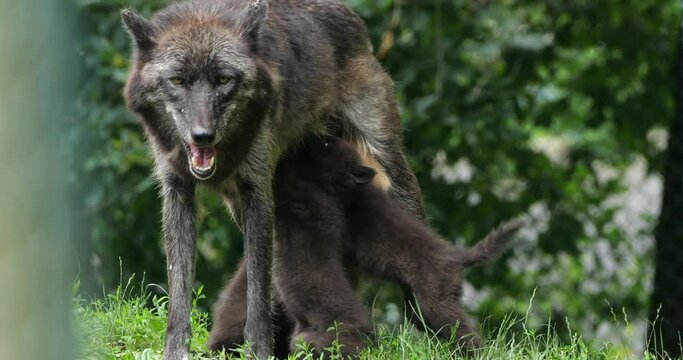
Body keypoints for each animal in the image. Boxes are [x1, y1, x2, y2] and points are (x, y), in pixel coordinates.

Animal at [120, 0, 424, 360]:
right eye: (177, 80)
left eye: (223, 79)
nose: (202, 135)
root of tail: (351, 16)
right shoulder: (179, 192)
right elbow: (179, 289)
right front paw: (175, 351)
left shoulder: (258, 193)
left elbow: (258, 289)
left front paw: (259, 350)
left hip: (388, 164)